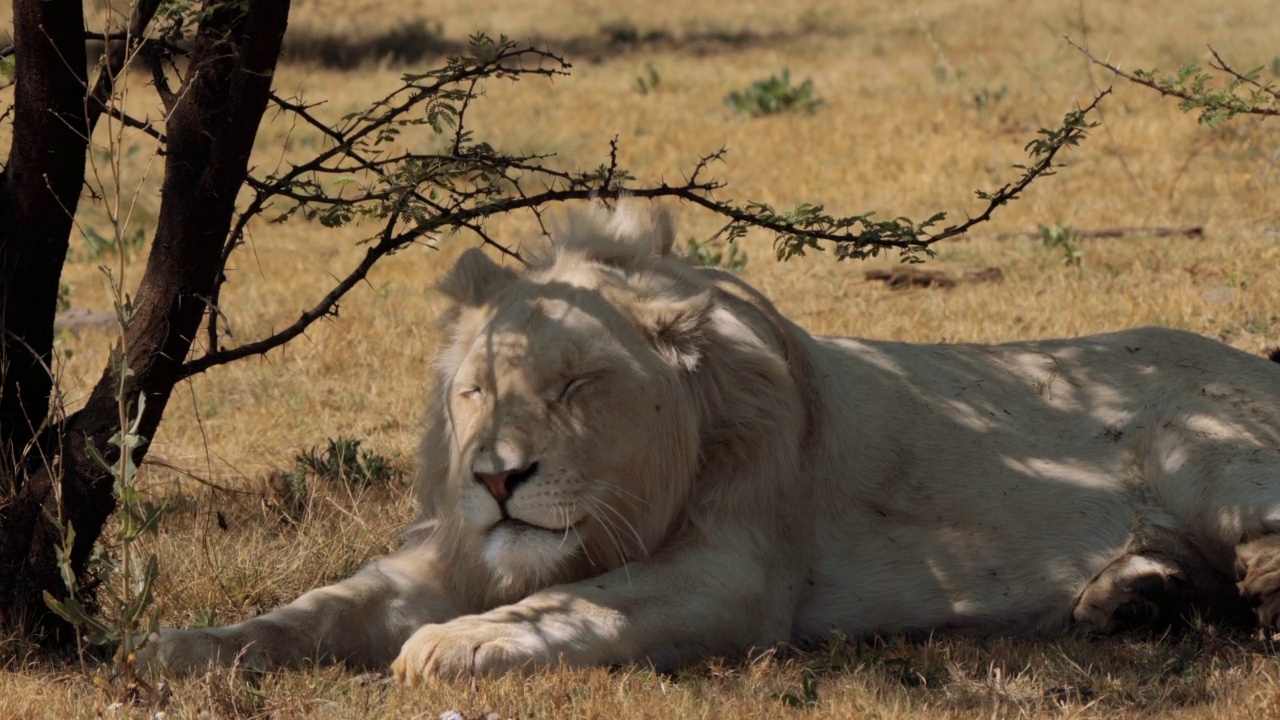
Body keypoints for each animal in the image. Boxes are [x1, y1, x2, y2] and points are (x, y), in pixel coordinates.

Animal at [149, 199, 1280, 676]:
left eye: (575, 385)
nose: (497, 479)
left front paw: (453, 643)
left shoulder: (733, 573)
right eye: (474, 391)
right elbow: (317, 608)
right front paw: (188, 647)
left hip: (1205, 446)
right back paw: (1135, 595)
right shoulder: (444, 553)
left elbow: (580, 602)